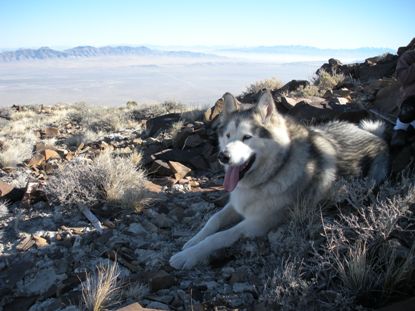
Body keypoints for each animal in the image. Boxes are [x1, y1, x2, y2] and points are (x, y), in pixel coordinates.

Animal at [169, 90, 390, 270]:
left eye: (247, 137)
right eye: (228, 135)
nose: (223, 156)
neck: (270, 175)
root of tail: (376, 137)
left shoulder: (258, 223)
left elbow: (220, 236)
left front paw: (187, 256)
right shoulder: (238, 202)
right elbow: (213, 220)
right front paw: (192, 241)